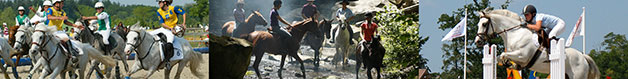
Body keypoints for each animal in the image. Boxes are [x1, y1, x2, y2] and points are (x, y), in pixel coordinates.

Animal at [476, 9, 604, 78]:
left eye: (484, 24)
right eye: (478, 24)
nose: (478, 41)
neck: (515, 33)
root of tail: (583, 56)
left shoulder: (522, 55)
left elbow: (503, 54)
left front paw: (509, 63)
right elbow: (499, 57)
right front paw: (511, 65)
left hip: (577, 75)